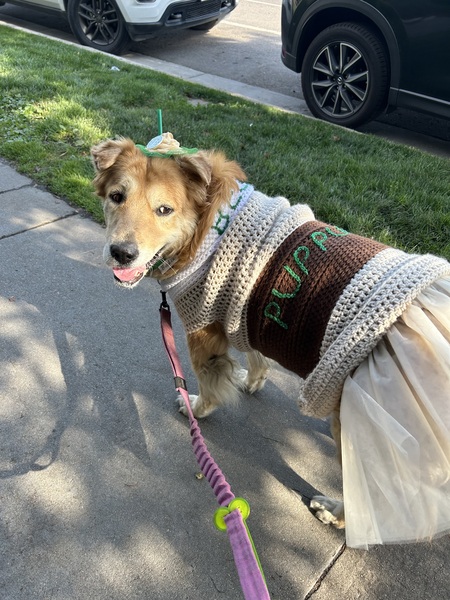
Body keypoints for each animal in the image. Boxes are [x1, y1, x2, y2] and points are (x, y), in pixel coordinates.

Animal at [91, 136, 450, 548]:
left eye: (164, 210)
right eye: (117, 197)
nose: (122, 253)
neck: (210, 226)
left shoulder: (204, 330)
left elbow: (209, 383)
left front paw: (197, 407)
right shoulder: (245, 309)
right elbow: (255, 351)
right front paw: (253, 380)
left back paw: (335, 513)